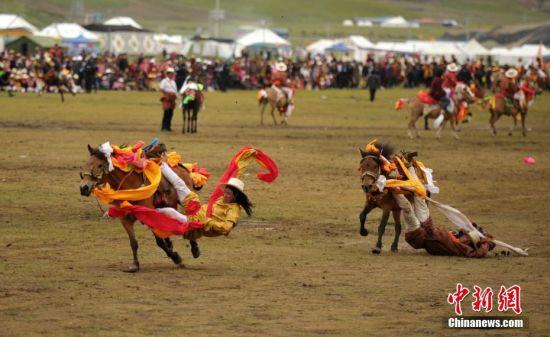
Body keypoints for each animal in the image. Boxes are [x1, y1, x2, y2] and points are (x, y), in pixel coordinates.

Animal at [81, 143, 202, 272]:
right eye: (87, 163)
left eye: (99, 165)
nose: (84, 188)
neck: (130, 188)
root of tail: (181, 167)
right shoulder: (125, 219)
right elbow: (133, 242)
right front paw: (135, 265)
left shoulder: (149, 216)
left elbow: (159, 241)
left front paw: (176, 258)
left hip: (184, 199)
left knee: (189, 218)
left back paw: (195, 249)